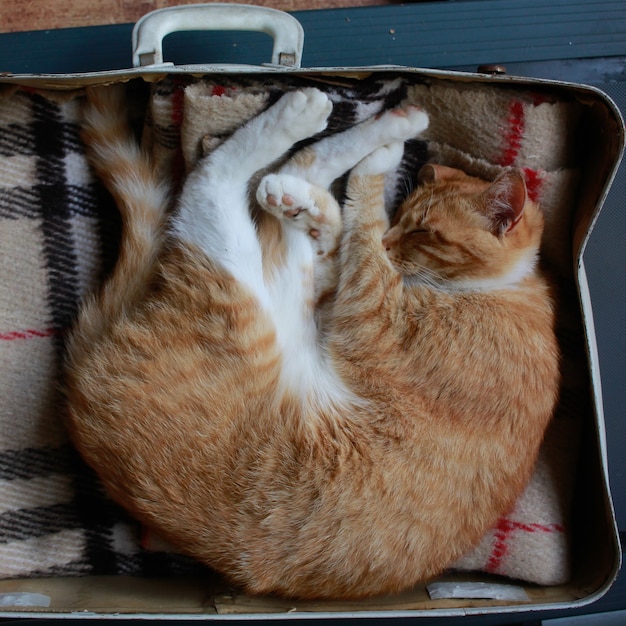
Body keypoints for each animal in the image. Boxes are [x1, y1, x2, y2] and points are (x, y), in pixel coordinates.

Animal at [63, 84, 560, 600]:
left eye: (424, 231)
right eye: (402, 217)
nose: (391, 244)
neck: (503, 286)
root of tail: (78, 389)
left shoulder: (370, 311)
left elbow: (357, 226)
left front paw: (348, 195)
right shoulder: (341, 296)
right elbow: (348, 232)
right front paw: (323, 204)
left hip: (237, 278)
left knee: (212, 177)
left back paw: (306, 122)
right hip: (280, 291)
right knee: (297, 165)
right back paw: (386, 132)